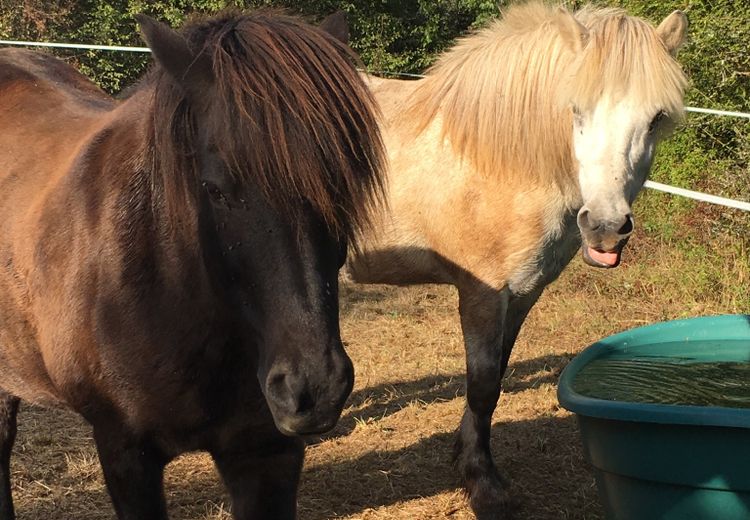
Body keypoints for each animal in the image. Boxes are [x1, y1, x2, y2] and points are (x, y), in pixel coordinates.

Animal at [346, 3, 688, 516]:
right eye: (575, 110)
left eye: (656, 118)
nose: (606, 227)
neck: (500, 158)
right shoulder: (482, 293)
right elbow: (483, 383)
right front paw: (483, 484)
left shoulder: (524, 293)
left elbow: (496, 380)